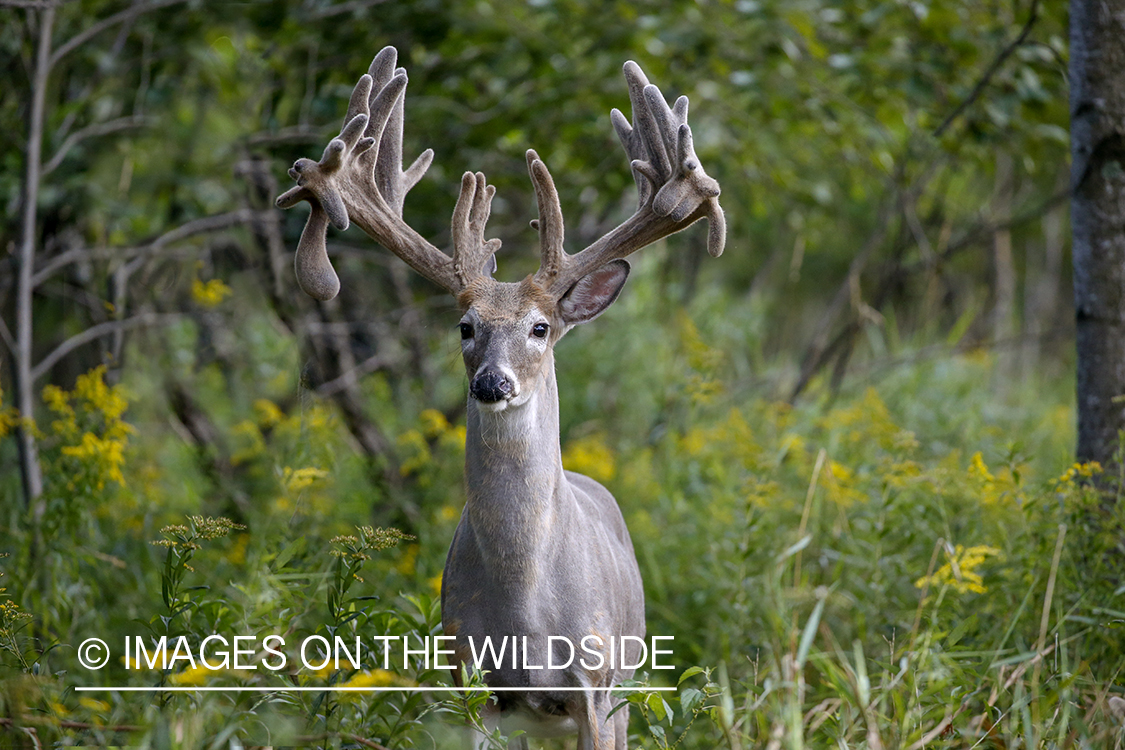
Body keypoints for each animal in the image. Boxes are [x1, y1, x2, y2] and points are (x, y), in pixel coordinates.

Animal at [276, 45, 724, 750]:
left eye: (540, 328)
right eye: (466, 327)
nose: (492, 383)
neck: (525, 610)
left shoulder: (597, 690)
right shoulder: (472, 685)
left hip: (627, 681)